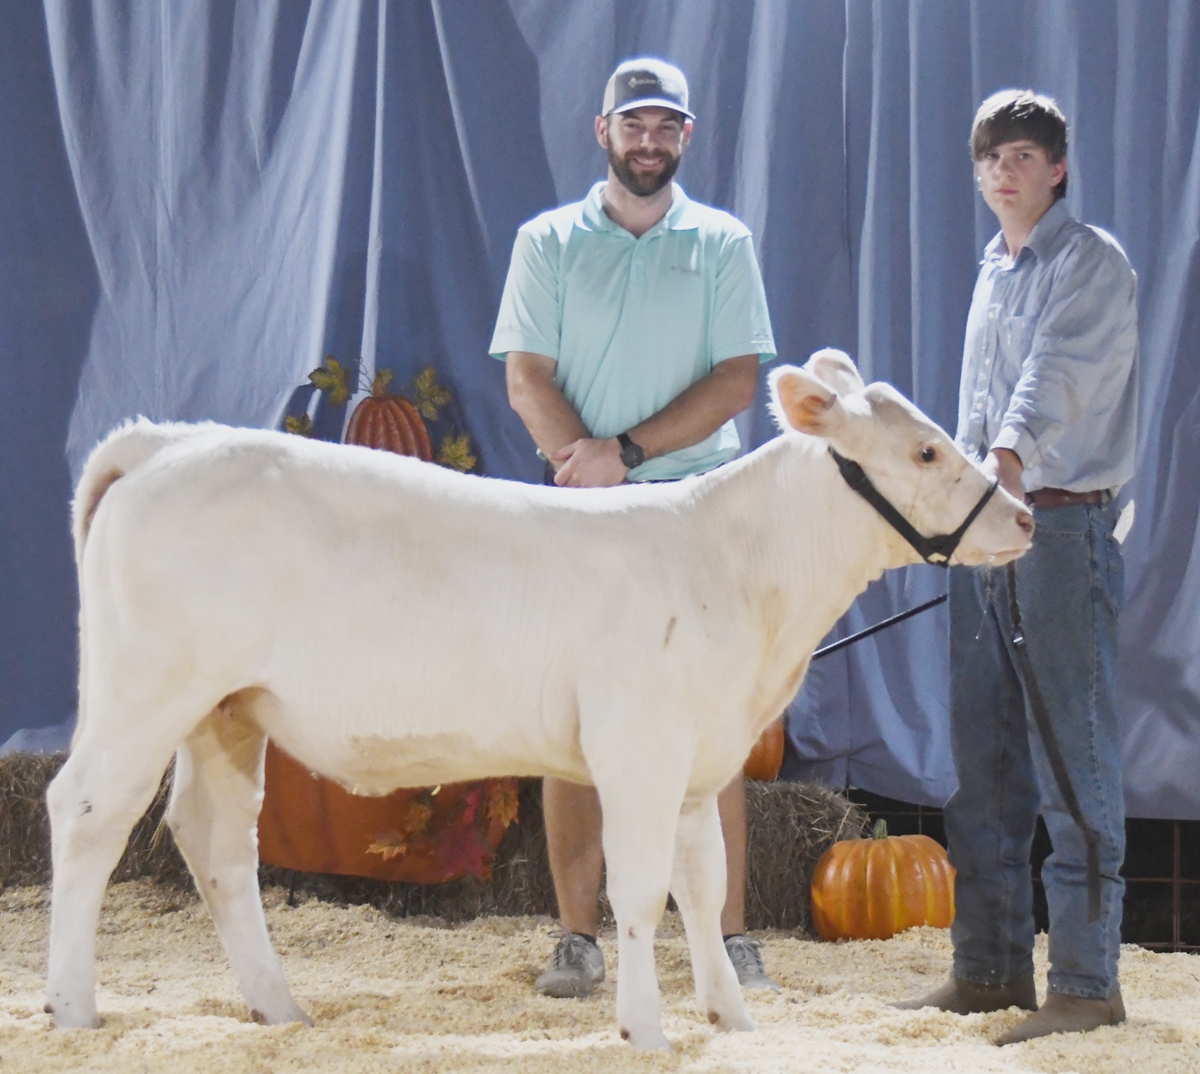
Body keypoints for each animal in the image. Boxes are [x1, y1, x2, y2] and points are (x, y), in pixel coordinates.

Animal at [45, 349, 1033, 1049]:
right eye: (925, 448)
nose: (1023, 516)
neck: (734, 569)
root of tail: (168, 441)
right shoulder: (638, 748)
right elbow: (638, 892)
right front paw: (645, 1028)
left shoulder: (699, 761)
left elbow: (704, 886)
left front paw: (733, 1022)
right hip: (146, 691)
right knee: (88, 811)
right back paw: (72, 1009)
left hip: (228, 711)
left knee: (215, 839)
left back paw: (278, 1009)